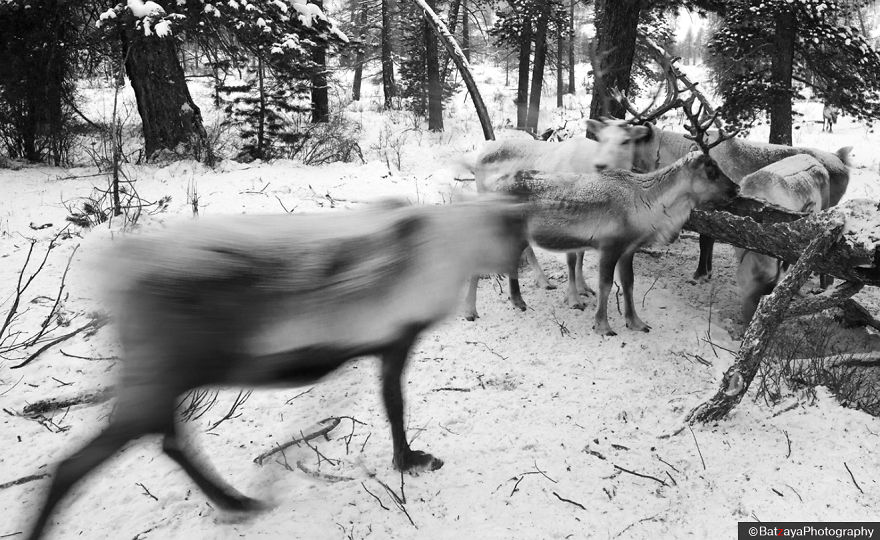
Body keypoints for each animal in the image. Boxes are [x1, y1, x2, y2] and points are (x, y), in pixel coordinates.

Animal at [25, 199, 527, 540]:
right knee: (76, 464)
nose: (517, 265)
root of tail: (118, 277)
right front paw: (412, 460)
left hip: (159, 382)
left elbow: (390, 404)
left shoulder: (384, 345)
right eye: (519, 238)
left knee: (167, 441)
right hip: (160, 376)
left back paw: (235, 500)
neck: (454, 246)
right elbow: (395, 405)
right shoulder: (398, 339)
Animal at [459, 119, 652, 320]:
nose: (601, 165)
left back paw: (541, 282)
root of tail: (481, 153)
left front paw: (584, 288)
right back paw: (471, 309)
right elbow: (572, 259)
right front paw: (574, 299)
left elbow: (581, 253)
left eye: (626, 140)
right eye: (601, 139)